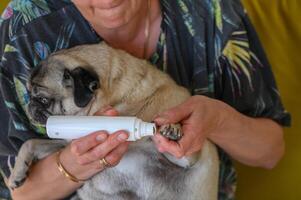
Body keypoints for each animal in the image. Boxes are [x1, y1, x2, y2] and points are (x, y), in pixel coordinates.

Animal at [7, 42, 218, 200]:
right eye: (29, 94)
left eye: (43, 99)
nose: (31, 105)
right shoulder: (68, 142)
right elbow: (30, 142)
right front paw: (17, 173)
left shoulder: (188, 158)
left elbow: (180, 151)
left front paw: (171, 130)